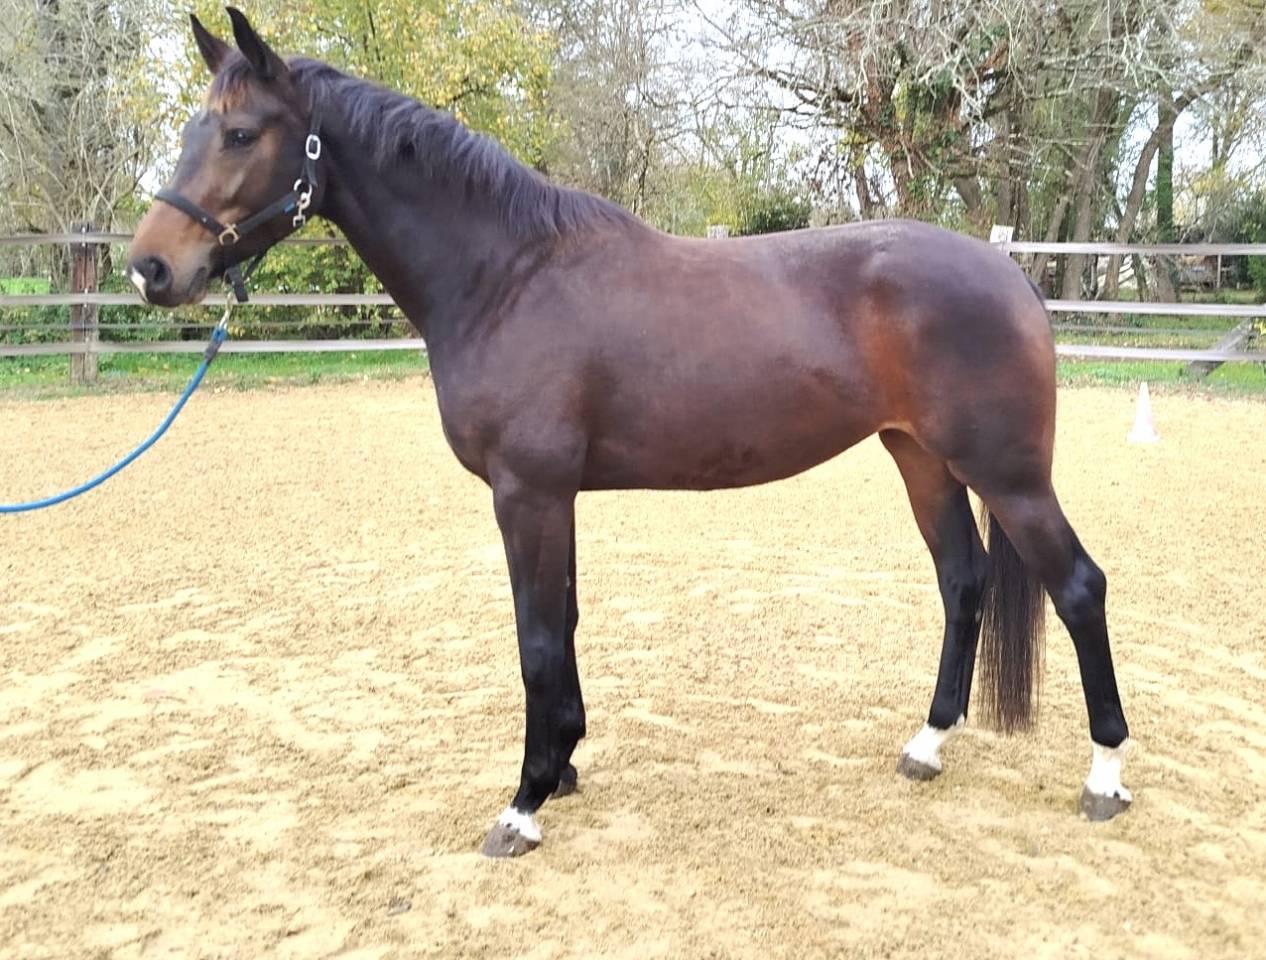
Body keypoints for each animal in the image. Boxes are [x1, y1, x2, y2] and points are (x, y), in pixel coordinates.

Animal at [126, 8, 1133, 857]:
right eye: (191, 132)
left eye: (242, 134)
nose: (150, 269)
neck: (506, 275)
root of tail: (1010, 275)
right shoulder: (553, 496)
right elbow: (563, 623)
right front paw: (566, 766)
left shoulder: (527, 492)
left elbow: (535, 637)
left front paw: (524, 803)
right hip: (921, 458)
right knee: (963, 582)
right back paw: (926, 745)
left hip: (1008, 475)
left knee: (1080, 588)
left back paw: (1105, 776)